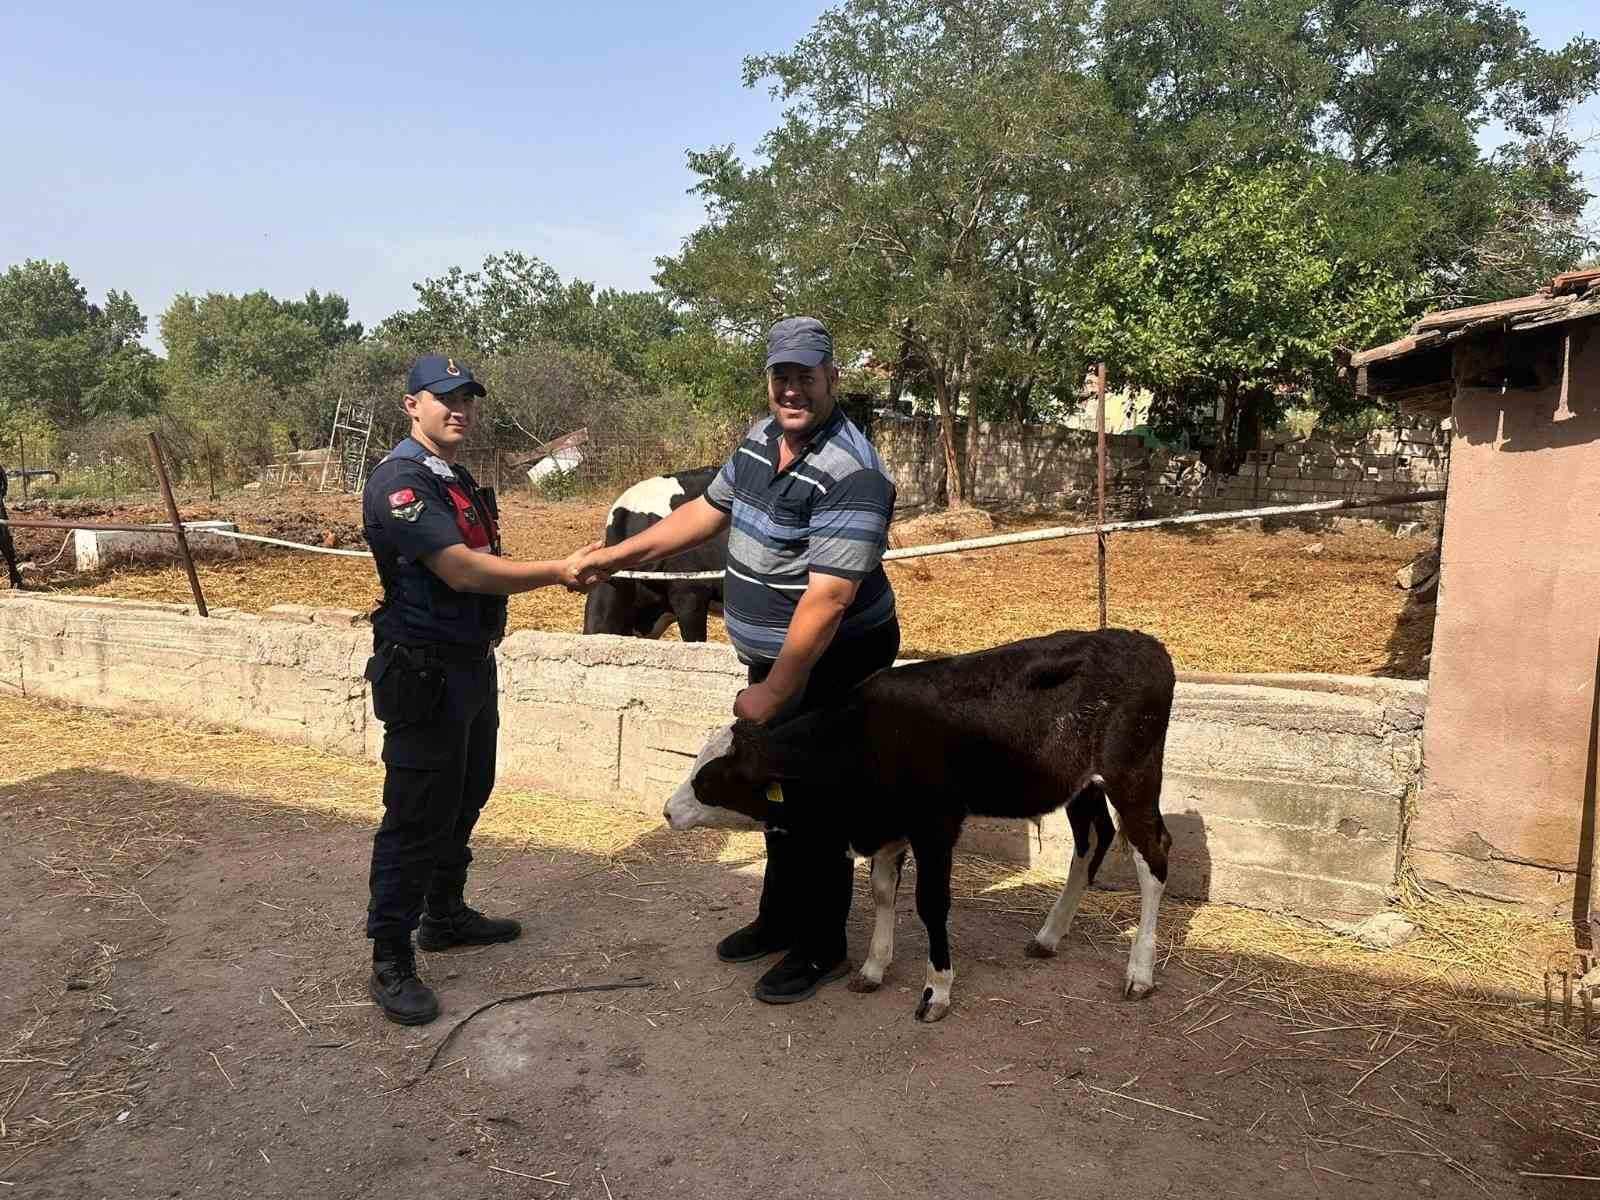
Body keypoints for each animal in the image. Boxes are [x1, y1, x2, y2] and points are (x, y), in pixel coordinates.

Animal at [662, 630, 1177, 1024]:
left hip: (1132, 774)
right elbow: (882, 892)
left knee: (1153, 853)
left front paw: (937, 990)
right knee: (1092, 839)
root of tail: (1144, 643)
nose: (667, 810)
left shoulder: (936, 826)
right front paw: (873, 967)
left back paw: (1140, 972)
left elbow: (931, 904)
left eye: (710, 779)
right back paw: (1049, 936)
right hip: (1079, 785)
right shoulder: (888, 825)